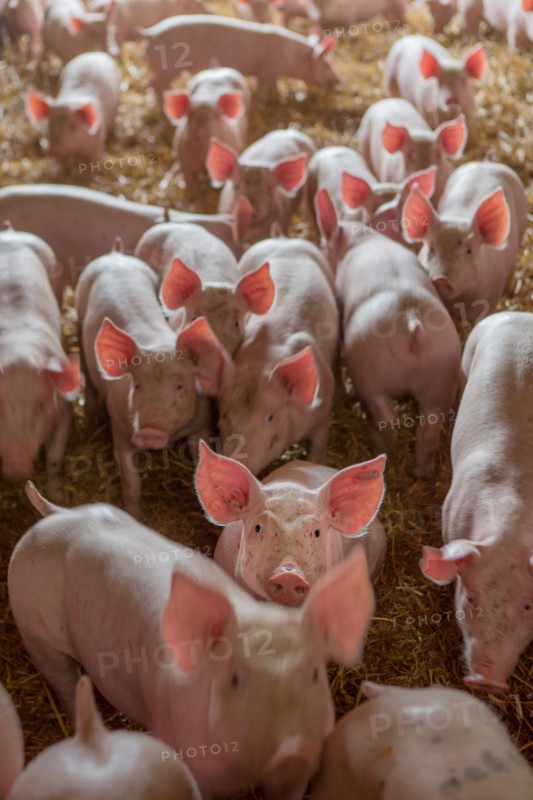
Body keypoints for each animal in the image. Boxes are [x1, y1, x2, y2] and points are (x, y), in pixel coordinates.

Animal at [0, 226, 82, 500]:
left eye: (41, 406)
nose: (17, 468)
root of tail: (11, 233)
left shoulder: (64, 410)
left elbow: (55, 458)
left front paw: (58, 499)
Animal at [75, 241, 225, 517]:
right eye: (137, 386)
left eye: (180, 386)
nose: (149, 432)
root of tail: (115, 254)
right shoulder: (120, 426)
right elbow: (131, 481)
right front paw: (135, 517)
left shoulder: (202, 423)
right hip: (79, 316)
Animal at [139, 15, 340, 94]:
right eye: (326, 65)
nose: (340, 81)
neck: (290, 57)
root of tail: (150, 32)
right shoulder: (269, 70)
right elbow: (268, 86)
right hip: (169, 68)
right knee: (154, 84)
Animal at [212, 237, 339, 475]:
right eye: (224, 415)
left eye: (270, 417)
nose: (236, 463)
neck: (261, 364)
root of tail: (285, 240)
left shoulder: (321, 416)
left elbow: (319, 445)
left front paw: (319, 464)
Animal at [316, 189, 460, 478]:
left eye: (324, 245)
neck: (358, 241)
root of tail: (412, 323)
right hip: (441, 381)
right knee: (428, 428)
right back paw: (423, 473)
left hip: (370, 377)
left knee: (388, 421)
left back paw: (379, 446)